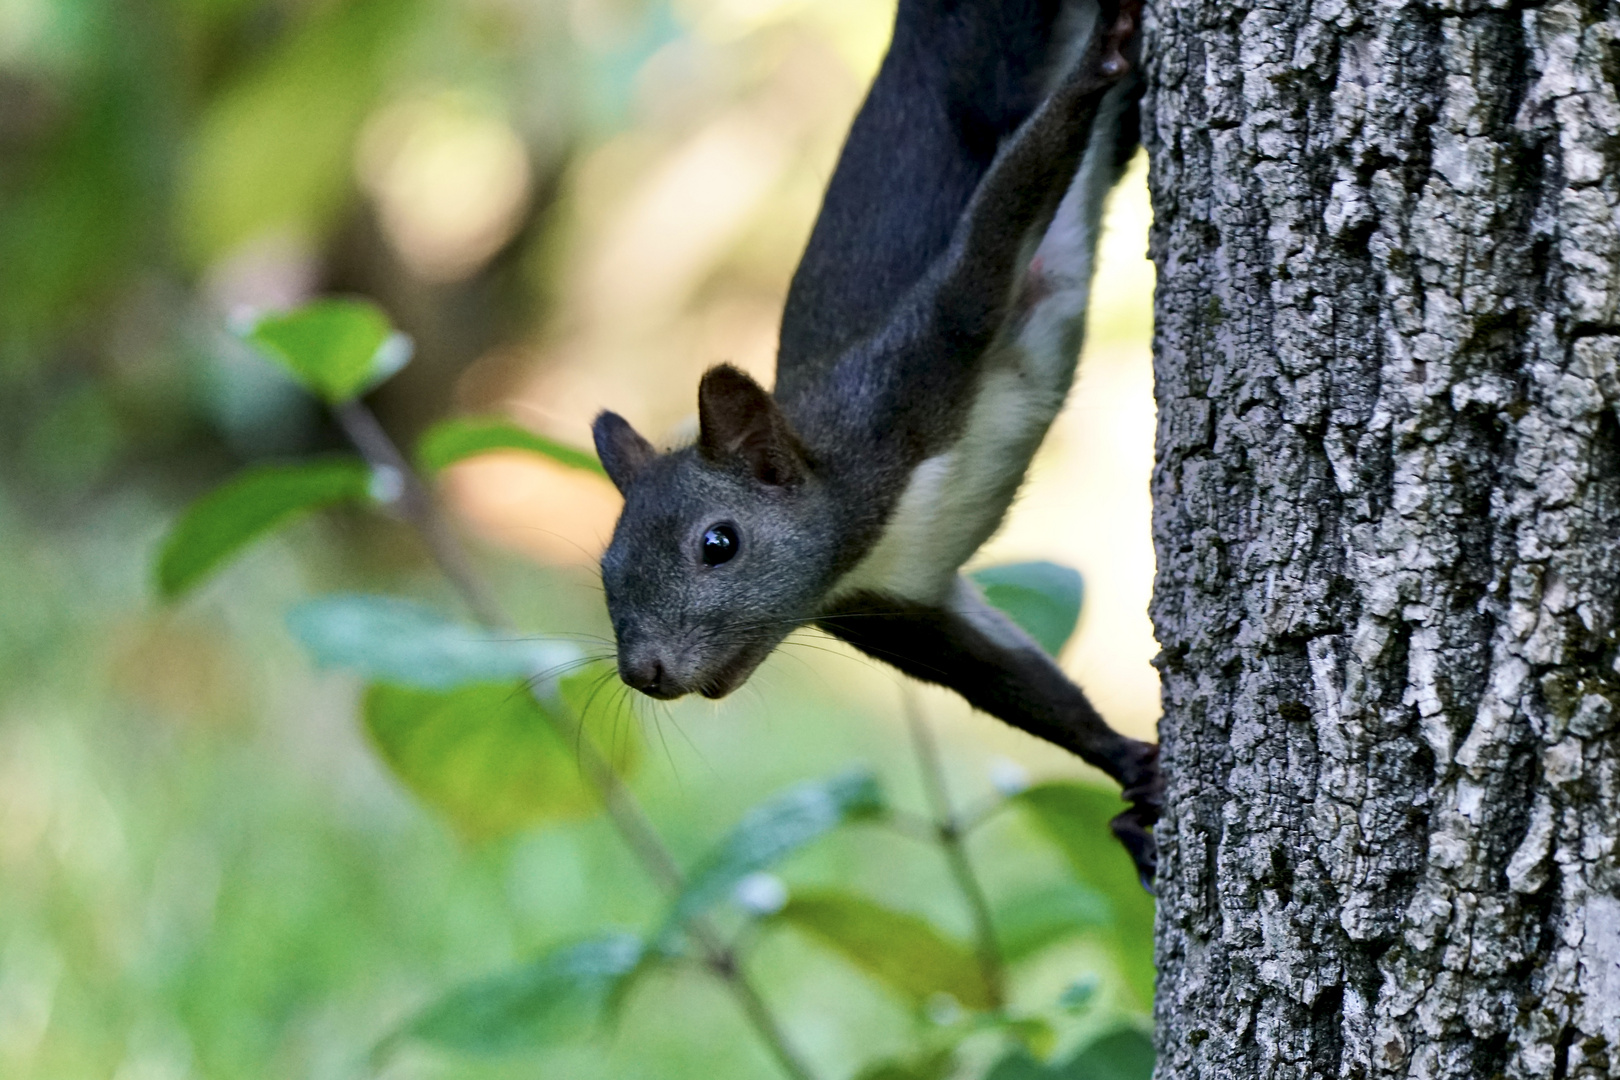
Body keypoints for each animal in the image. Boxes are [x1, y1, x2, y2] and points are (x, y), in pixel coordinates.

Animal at [596, 0, 1166, 880]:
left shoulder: (911, 368)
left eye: (719, 543)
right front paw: (1127, 763)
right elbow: (1005, 680)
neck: (862, 525)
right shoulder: (891, 608)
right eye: (605, 570)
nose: (644, 673)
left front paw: (1098, 65)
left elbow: (988, 241)